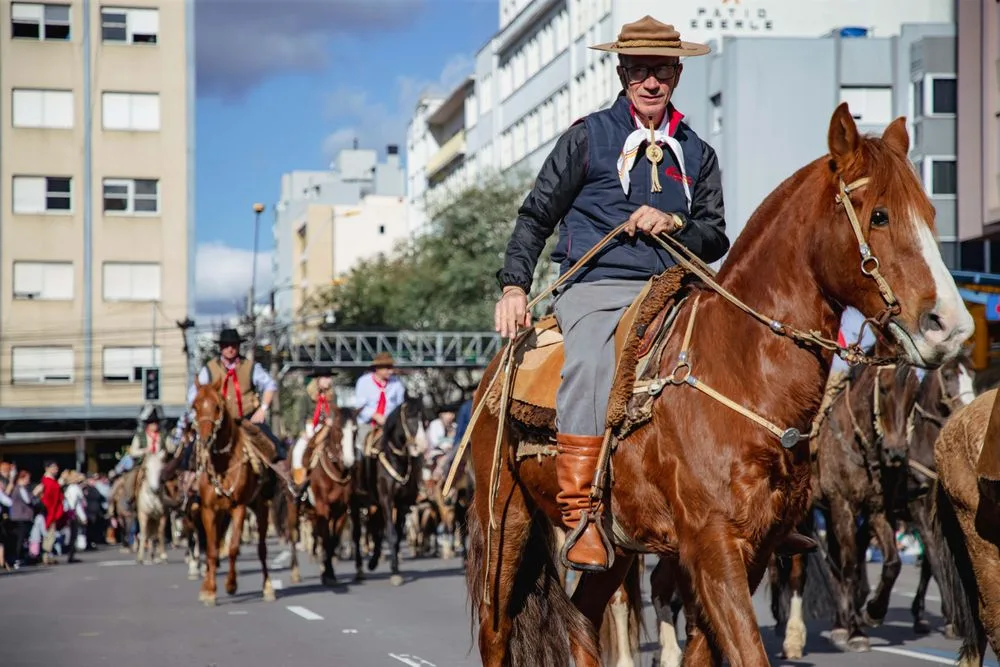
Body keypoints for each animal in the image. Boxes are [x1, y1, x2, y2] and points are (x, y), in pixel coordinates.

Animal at [190, 376, 278, 604]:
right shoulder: (208, 510)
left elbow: (232, 548)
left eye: (217, 407)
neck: (223, 464)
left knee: (262, 548)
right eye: (195, 406)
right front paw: (209, 590)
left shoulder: (239, 507)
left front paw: (231, 584)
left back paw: (268, 587)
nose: (205, 439)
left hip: (260, 507)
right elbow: (212, 550)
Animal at [464, 104, 972, 667]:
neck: (742, 370)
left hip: (616, 549)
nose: (951, 326)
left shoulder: (755, 549)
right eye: (879, 215)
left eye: (931, 214)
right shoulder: (714, 546)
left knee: (583, 620)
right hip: (505, 526)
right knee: (497, 631)